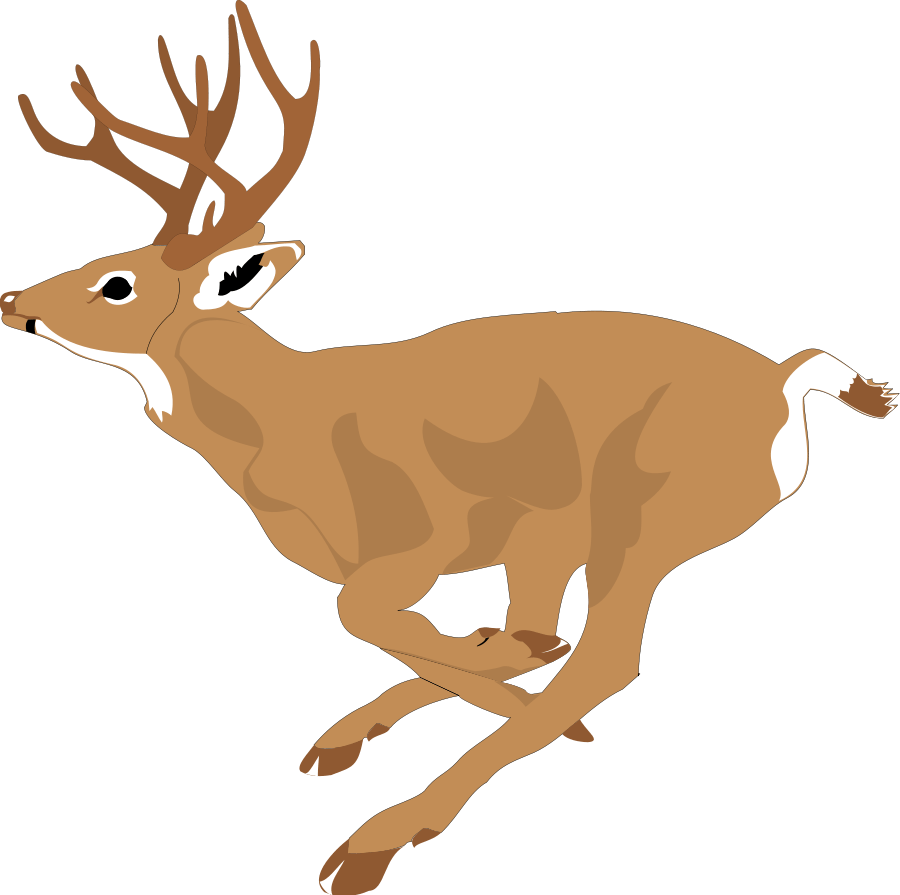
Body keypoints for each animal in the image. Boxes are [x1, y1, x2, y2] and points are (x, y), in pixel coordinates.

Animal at [1, 3, 894, 894]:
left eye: (119, 283)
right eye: (101, 258)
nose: (12, 298)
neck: (280, 426)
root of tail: (782, 382)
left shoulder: (424, 534)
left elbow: (364, 613)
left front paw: (469, 685)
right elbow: (442, 634)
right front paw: (446, 675)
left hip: (642, 513)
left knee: (604, 658)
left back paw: (374, 840)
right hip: (557, 533)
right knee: (547, 636)